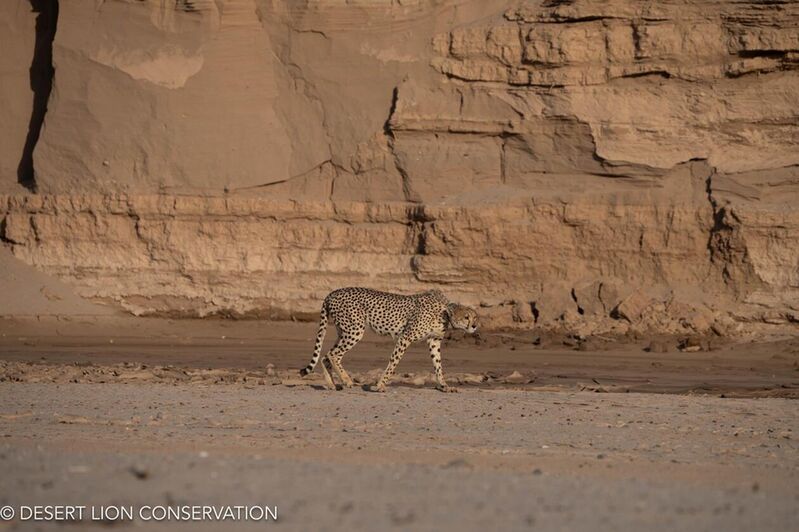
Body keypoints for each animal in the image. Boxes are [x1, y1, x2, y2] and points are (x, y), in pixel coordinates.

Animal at [298, 288, 476, 392]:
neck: (445, 312)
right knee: (333, 354)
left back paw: (332, 384)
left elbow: (438, 365)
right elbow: (393, 362)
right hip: (354, 330)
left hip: (343, 331)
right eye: (466, 317)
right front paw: (380, 385)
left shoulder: (434, 341)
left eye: (475, 317)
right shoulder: (405, 337)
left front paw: (444, 386)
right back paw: (347, 381)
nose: (474, 326)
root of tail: (332, 293)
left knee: (325, 355)